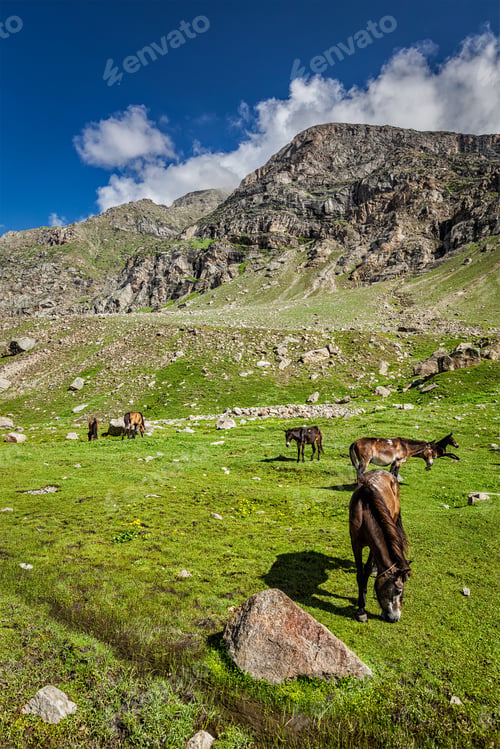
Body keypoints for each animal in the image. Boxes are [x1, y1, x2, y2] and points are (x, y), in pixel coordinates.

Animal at [349, 470, 411, 623]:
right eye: (398, 591)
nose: (396, 618)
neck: (364, 513)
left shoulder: (373, 547)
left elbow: (367, 569)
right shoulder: (356, 544)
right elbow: (360, 574)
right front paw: (361, 609)